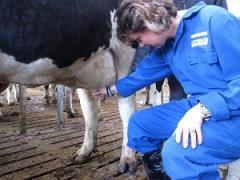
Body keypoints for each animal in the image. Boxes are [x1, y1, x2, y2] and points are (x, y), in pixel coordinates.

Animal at [0, 0, 136, 173]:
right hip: (87, 65)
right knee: (90, 107)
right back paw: (85, 151)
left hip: (125, 51)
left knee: (126, 104)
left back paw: (127, 159)